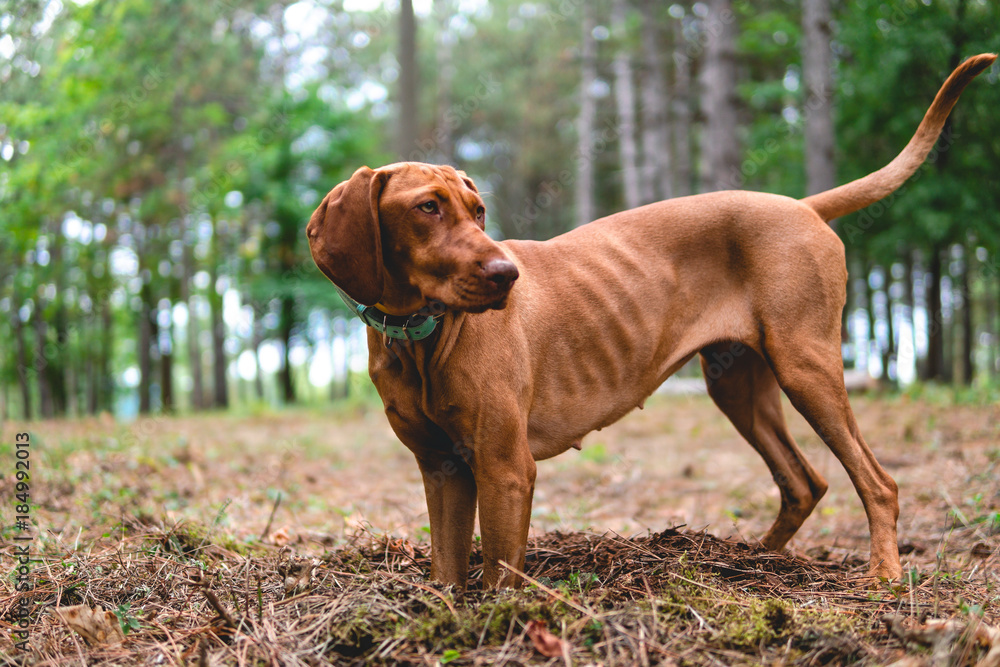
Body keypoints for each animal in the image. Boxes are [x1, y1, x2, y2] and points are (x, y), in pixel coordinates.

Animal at [308, 57, 996, 588]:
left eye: (478, 212)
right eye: (427, 208)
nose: (508, 275)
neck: (417, 337)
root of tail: (802, 206)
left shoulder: (505, 467)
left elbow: (502, 578)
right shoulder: (443, 467)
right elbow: (449, 574)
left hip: (807, 366)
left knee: (878, 482)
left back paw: (883, 575)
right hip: (738, 384)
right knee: (805, 483)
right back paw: (752, 561)